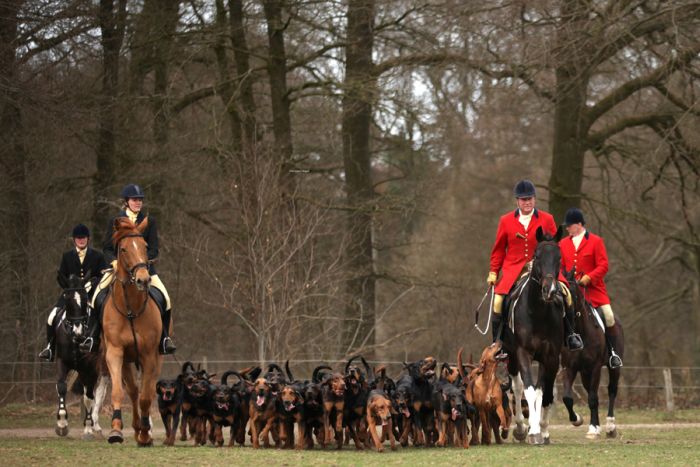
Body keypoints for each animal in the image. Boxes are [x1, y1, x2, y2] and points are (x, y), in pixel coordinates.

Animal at [53, 272, 108, 440]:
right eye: (67, 298)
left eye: (85, 299)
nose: (78, 331)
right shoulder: (62, 362)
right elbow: (62, 387)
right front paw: (62, 424)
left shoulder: (90, 368)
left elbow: (89, 396)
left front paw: (88, 428)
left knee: (98, 391)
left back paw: (94, 424)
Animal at [102, 218, 167, 446]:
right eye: (123, 249)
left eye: (145, 247)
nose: (143, 280)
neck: (130, 309)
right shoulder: (115, 352)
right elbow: (118, 392)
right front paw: (115, 430)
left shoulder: (149, 355)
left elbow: (146, 397)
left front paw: (146, 434)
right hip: (126, 361)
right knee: (132, 390)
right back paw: (136, 427)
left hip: (156, 358)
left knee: (146, 390)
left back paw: (143, 430)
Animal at [500, 227, 568, 446]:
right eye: (537, 256)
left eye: (559, 257)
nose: (550, 290)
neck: (538, 313)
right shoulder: (523, 353)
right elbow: (529, 389)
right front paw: (533, 431)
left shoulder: (551, 357)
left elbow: (543, 392)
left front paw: (541, 429)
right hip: (511, 356)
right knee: (517, 387)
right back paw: (521, 428)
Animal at [560, 268, 628, 440]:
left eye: (570, 291)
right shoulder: (569, 368)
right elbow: (567, 398)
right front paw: (578, 420)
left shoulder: (596, 367)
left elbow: (592, 398)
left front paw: (593, 428)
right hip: (585, 373)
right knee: (592, 391)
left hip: (613, 368)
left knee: (611, 390)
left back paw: (610, 427)